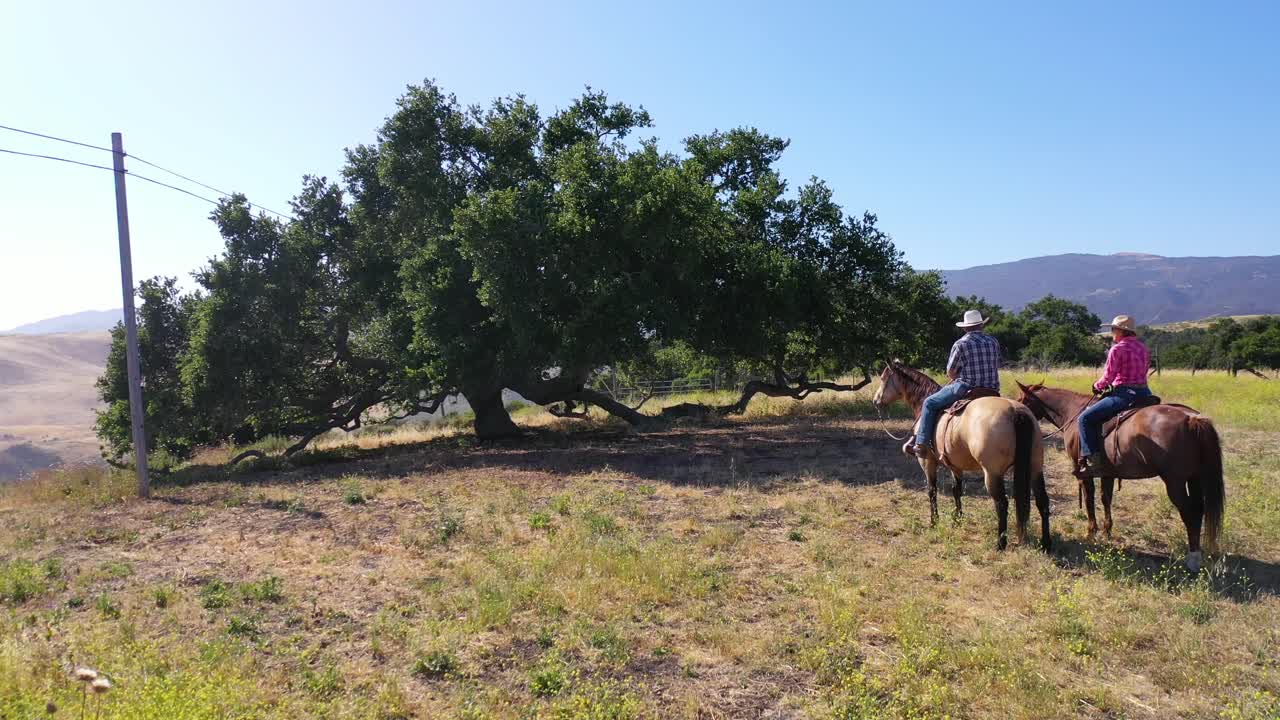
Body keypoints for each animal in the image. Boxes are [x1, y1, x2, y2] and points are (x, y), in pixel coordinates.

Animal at [873, 361, 1051, 551]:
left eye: (883, 378)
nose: (876, 401)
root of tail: (1016, 411)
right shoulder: (955, 466)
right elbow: (956, 490)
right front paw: (957, 520)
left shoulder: (927, 461)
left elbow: (932, 490)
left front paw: (933, 522)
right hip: (1035, 467)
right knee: (1042, 501)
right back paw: (1046, 543)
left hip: (992, 474)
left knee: (1002, 503)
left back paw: (1000, 544)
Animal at [1014, 382, 1224, 572]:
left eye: (1023, 399)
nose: (1020, 413)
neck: (1072, 411)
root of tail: (1192, 419)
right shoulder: (1108, 473)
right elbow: (1106, 499)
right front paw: (1107, 531)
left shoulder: (1082, 472)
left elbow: (1089, 499)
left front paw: (1091, 531)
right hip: (1194, 478)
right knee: (1198, 510)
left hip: (1175, 483)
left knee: (1189, 513)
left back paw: (1193, 559)